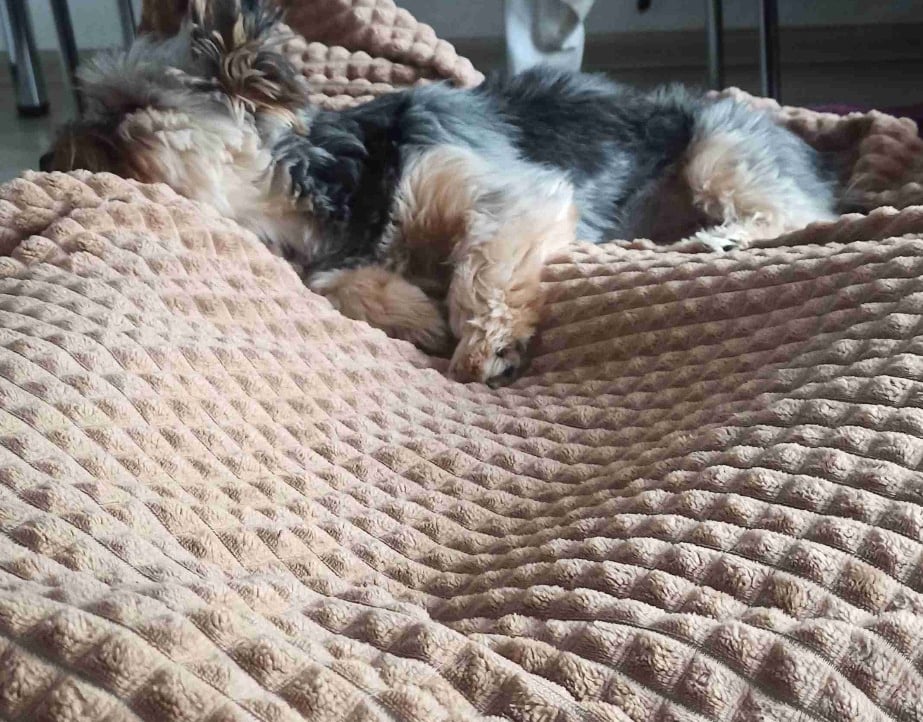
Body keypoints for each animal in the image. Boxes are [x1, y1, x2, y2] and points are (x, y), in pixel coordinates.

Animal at [40, 0, 837, 386]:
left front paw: (485, 346)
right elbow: (343, 283)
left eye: (123, 112)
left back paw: (724, 237)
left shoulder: (506, 191)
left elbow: (480, 268)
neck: (323, 189)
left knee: (796, 212)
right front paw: (419, 317)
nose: (47, 156)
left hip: (718, 150)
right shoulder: (335, 257)